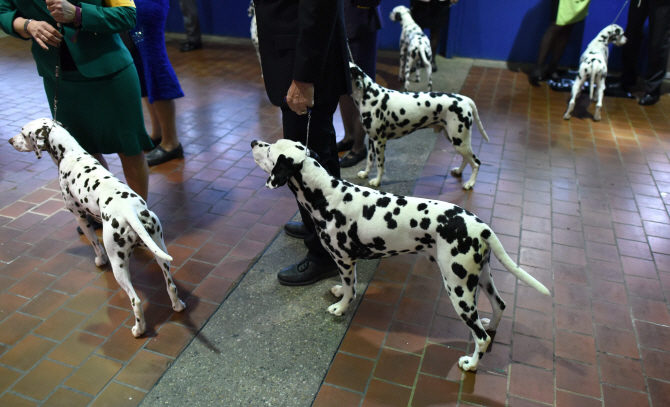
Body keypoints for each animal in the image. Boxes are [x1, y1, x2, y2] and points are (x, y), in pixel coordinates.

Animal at [8, 118, 186, 338]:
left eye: (23, 133)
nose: (9, 140)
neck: (71, 153)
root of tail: (130, 211)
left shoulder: (80, 217)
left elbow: (94, 243)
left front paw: (100, 260)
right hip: (160, 252)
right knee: (171, 287)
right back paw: (178, 306)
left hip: (119, 266)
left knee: (135, 301)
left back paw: (139, 329)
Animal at [252, 140, 552, 372]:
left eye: (270, 149)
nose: (255, 142)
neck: (328, 196)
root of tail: (481, 226)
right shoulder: (347, 263)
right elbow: (347, 285)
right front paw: (338, 291)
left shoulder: (345, 260)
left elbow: (351, 290)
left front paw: (340, 307)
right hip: (481, 279)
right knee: (499, 307)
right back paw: (492, 327)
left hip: (459, 289)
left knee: (480, 337)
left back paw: (471, 364)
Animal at [354, 63, 490, 190]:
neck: (372, 96)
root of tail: (464, 99)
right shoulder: (371, 140)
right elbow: (369, 161)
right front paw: (365, 174)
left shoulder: (380, 142)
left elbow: (380, 165)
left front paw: (377, 181)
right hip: (456, 141)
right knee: (467, 159)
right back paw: (459, 171)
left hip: (459, 142)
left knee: (476, 163)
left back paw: (470, 183)